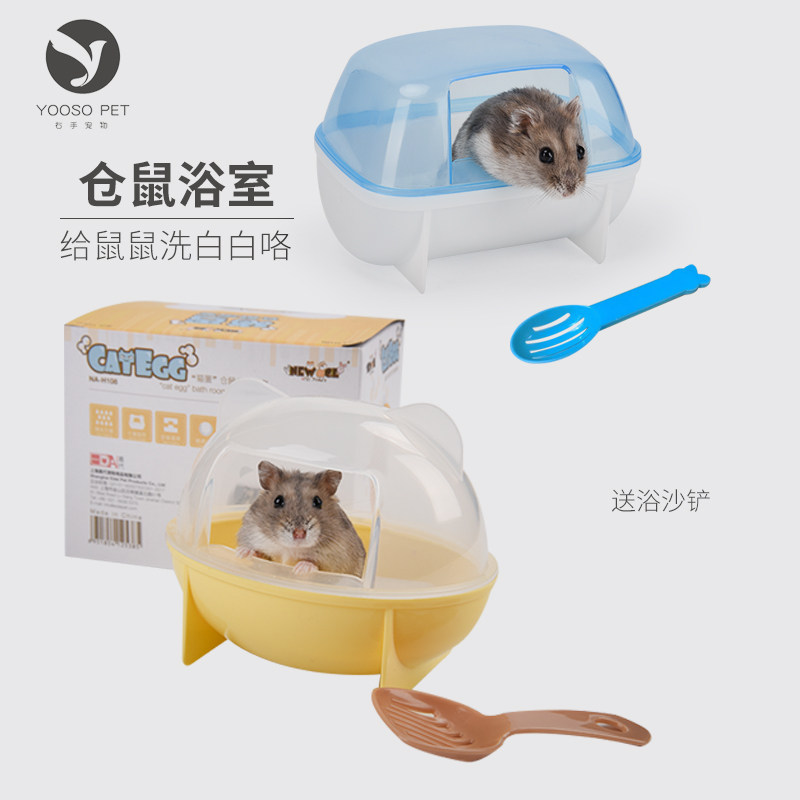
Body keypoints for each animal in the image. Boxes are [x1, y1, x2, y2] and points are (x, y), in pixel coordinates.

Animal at [236, 460, 366, 578]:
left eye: (318, 501)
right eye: (277, 500)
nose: (299, 533)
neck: (290, 549)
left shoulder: (339, 563)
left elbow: (317, 565)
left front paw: (301, 569)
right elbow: (260, 554)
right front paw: (242, 553)